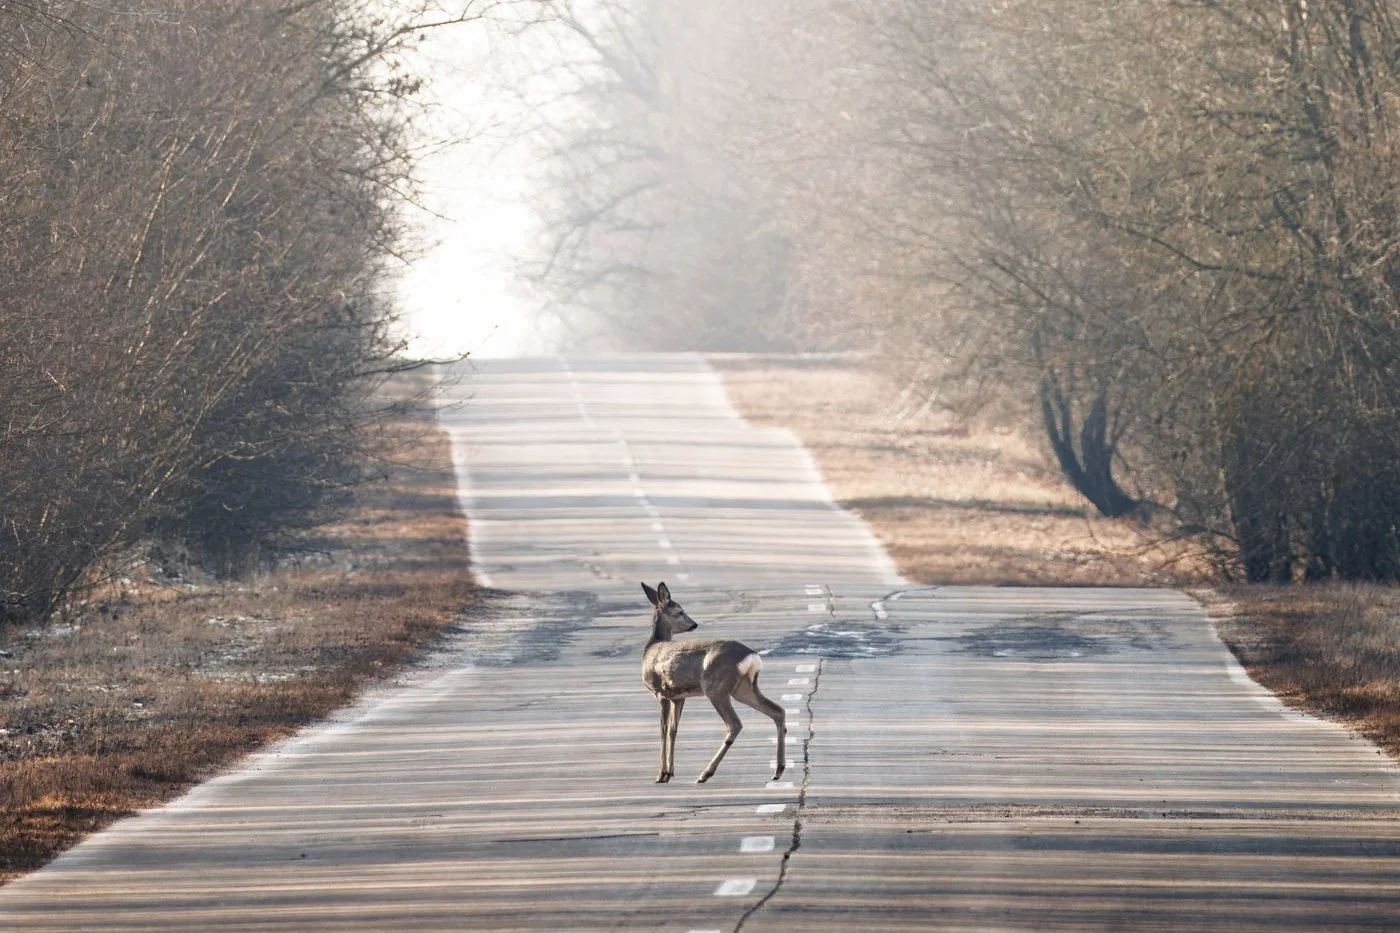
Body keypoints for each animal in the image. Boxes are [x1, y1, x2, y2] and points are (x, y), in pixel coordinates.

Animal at [641, 581, 786, 784]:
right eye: (680, 612)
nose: (694, 624)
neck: (651, 648)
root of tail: (751, 656)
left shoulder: (661, 692)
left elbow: (663, 731)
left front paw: (661, 775)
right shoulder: (678, 697)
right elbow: (673, 730)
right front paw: (669, 773)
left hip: (717, 688)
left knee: (735, 724)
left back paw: (705, 773)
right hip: (743, 688)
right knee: (777, 711)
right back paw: (778, 770)